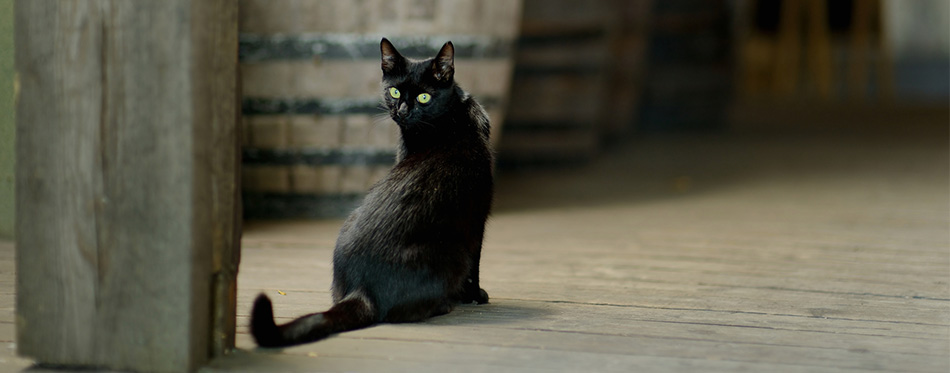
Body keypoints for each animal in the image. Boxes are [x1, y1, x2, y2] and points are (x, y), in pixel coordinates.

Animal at [249, 37, 494, 346]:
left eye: (424, 97)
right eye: (394, 91)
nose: (402, 111)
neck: (451, 118)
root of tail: (361, 287)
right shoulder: (476, 219)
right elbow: (476, 264)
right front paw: (475, 295)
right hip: (453, 252)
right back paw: (444, 304)